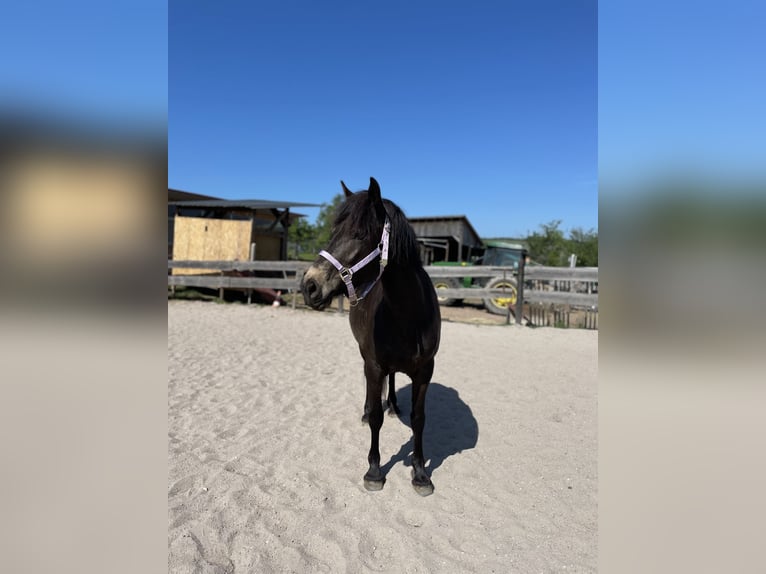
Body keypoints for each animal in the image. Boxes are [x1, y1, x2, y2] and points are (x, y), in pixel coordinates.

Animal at [302, 178, 444, 498]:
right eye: (333, 231)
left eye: (360, 234)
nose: (309, 285)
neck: (409, 313)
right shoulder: (374, 365)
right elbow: (377, 418)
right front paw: (374, 471)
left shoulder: (425, 371)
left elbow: (419, 419)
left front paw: (420, 474)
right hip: (365, 356)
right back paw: (369, 410)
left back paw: (393, 404)